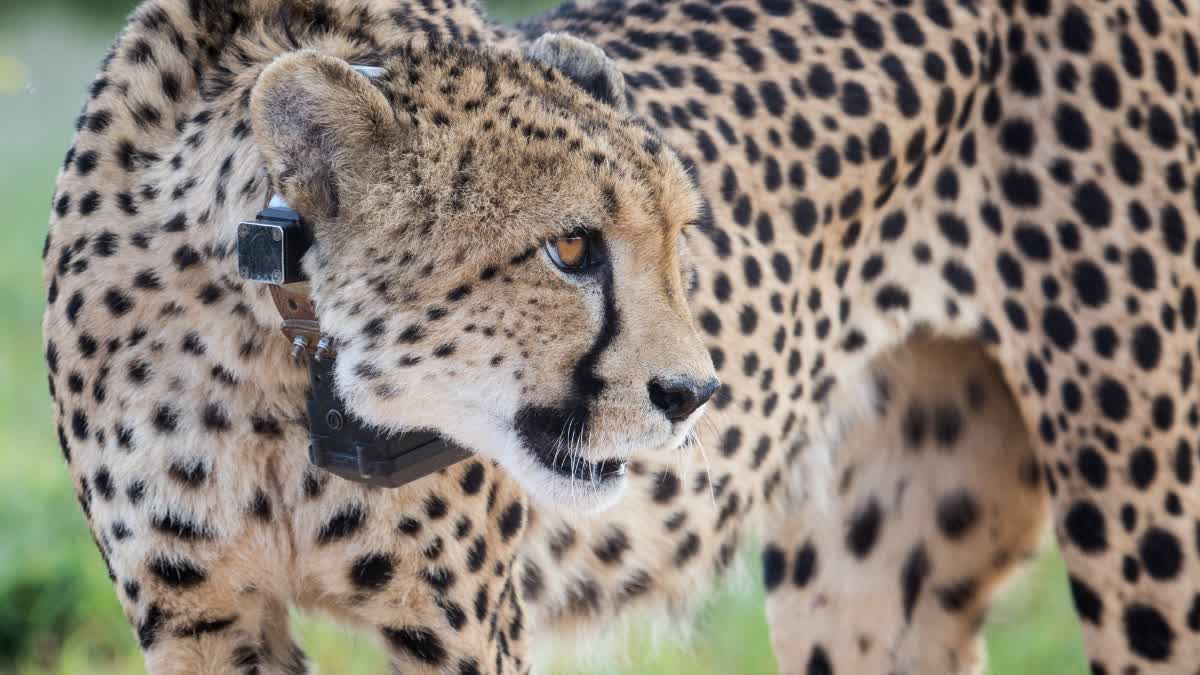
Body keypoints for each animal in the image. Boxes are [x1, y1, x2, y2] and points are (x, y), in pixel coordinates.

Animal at [40, 0, 1200, 673]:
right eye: (569, 249)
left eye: (680, 237)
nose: (694, 394)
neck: (263, 351)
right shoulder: (200, 615)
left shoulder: (460, 628)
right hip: (867, 572)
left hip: (1147, 527)